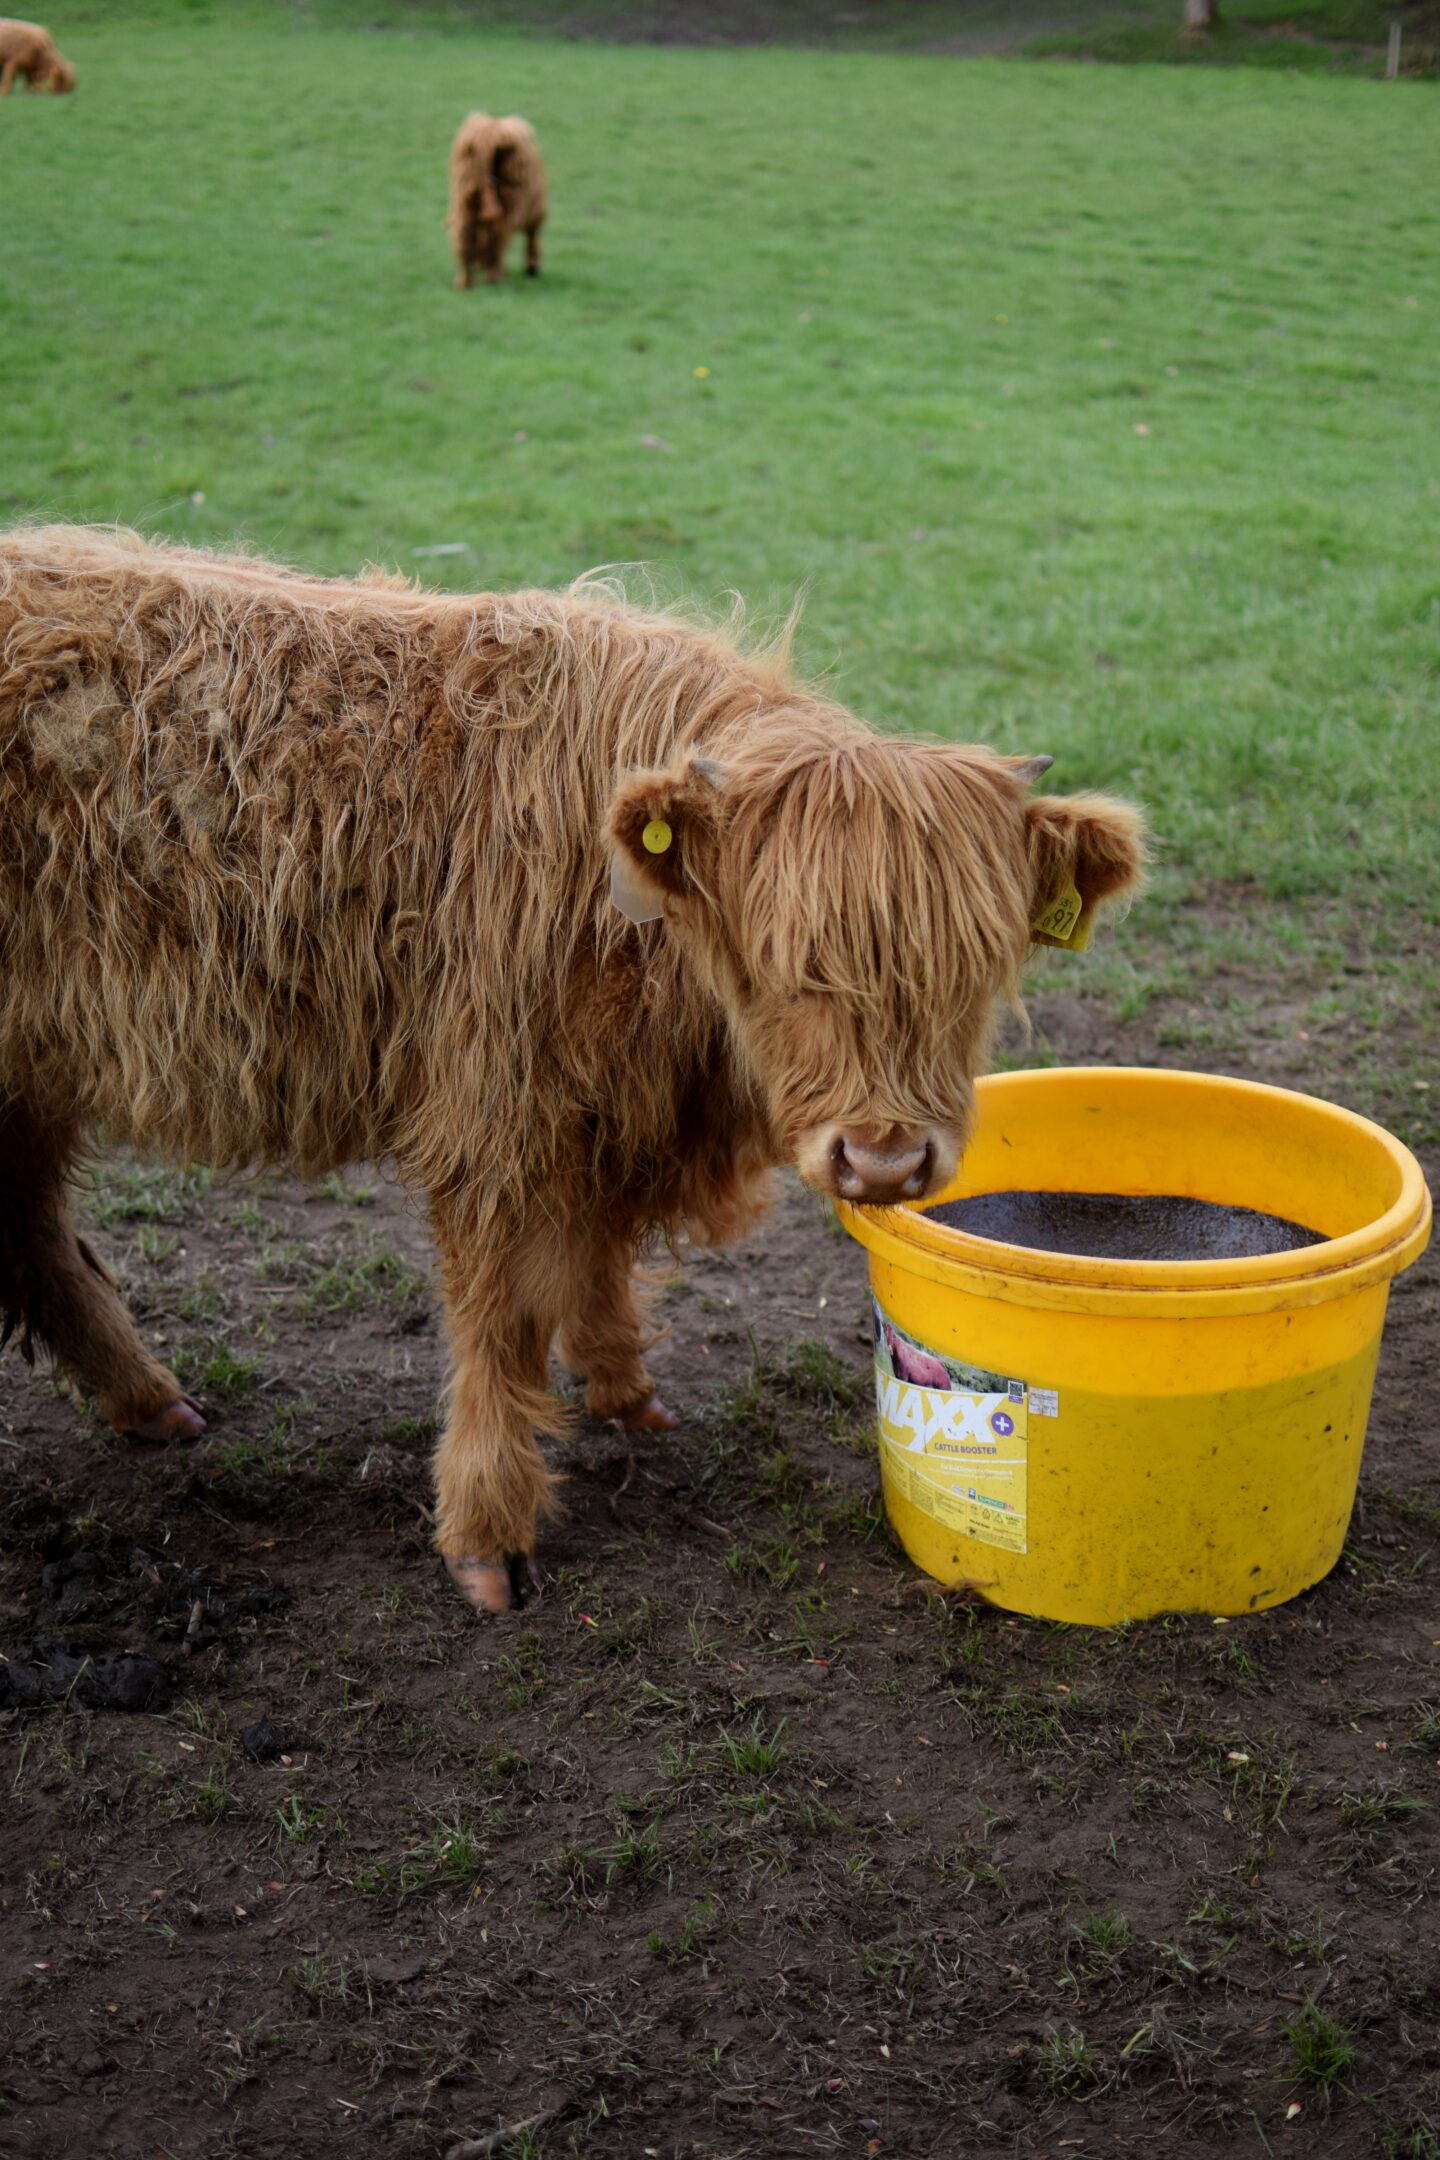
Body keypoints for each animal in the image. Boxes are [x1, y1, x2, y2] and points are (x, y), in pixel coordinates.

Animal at [0, 525, 1146, 1612]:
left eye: (979, 968)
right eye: (781, 966)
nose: (884, 1164)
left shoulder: (607, 1110)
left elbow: (597, 1253)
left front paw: (624, 1390)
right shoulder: (493, 1118)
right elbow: (500, 1323)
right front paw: (487, 1537)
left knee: (36, 1230)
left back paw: (152, 1403)